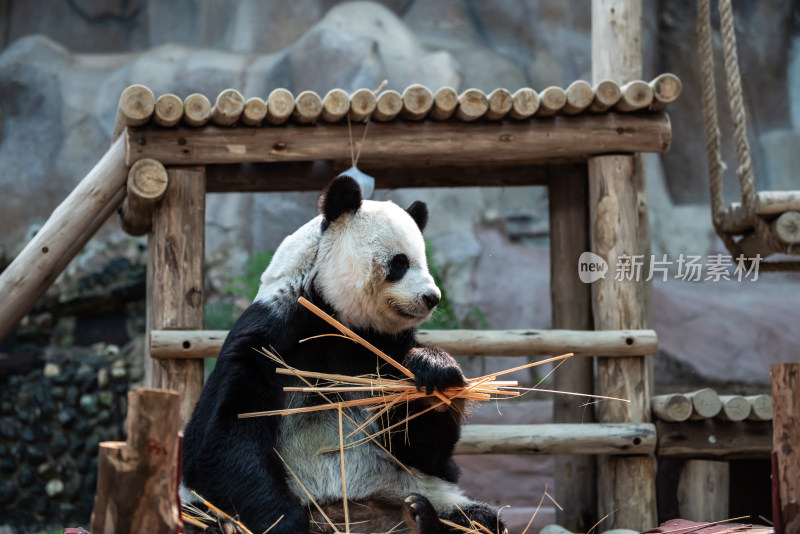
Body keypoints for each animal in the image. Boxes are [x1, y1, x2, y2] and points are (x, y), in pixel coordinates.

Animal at [182, 176, 506, 534]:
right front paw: (285, 523)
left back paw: (423, 516)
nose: (432, 297)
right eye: (400, 262)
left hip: (418, 491)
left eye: (424, 263)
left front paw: (435, 374)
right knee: (201, 516)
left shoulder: (385, 352)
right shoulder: (266, 338)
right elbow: (222, 442)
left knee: (479, 519)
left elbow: (420, 450)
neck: (337, 320)